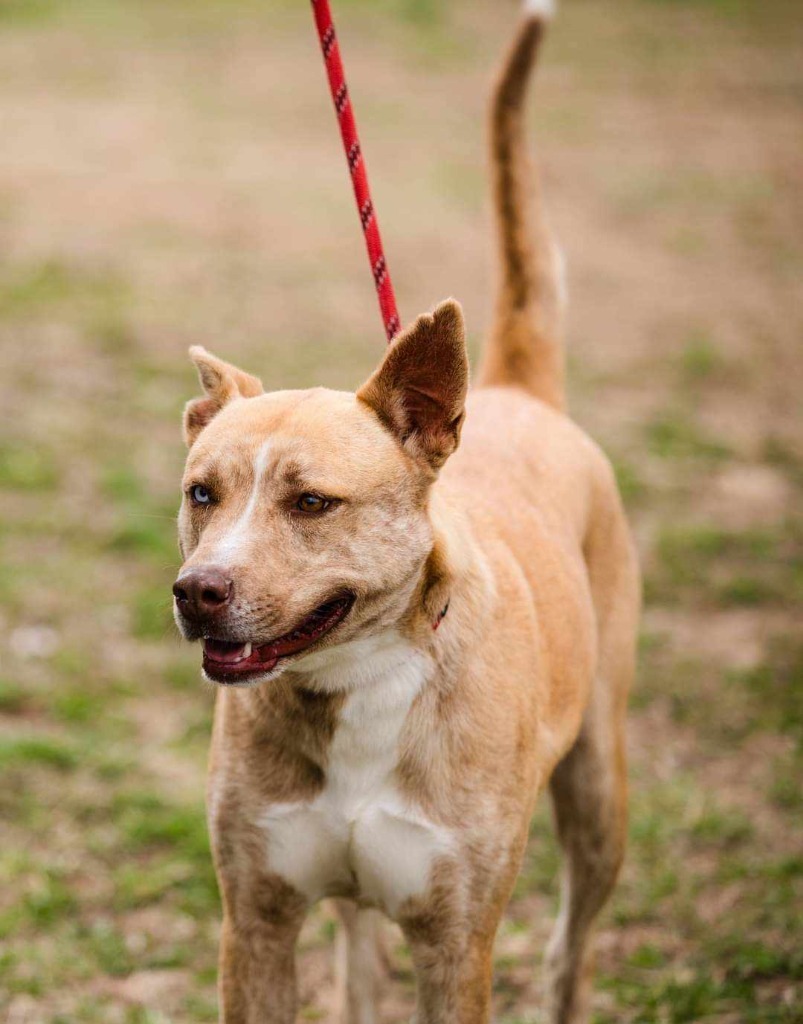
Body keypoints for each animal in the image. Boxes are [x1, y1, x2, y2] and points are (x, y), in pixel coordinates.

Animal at [171, 4, 639, 1019]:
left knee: (568, 949)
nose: (196, 592)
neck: (358, 684)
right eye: (200, 494)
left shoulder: (457, 943)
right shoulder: (254, 924)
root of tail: (513, 387)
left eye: (311, 502)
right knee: (357, 954)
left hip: (598, 792)